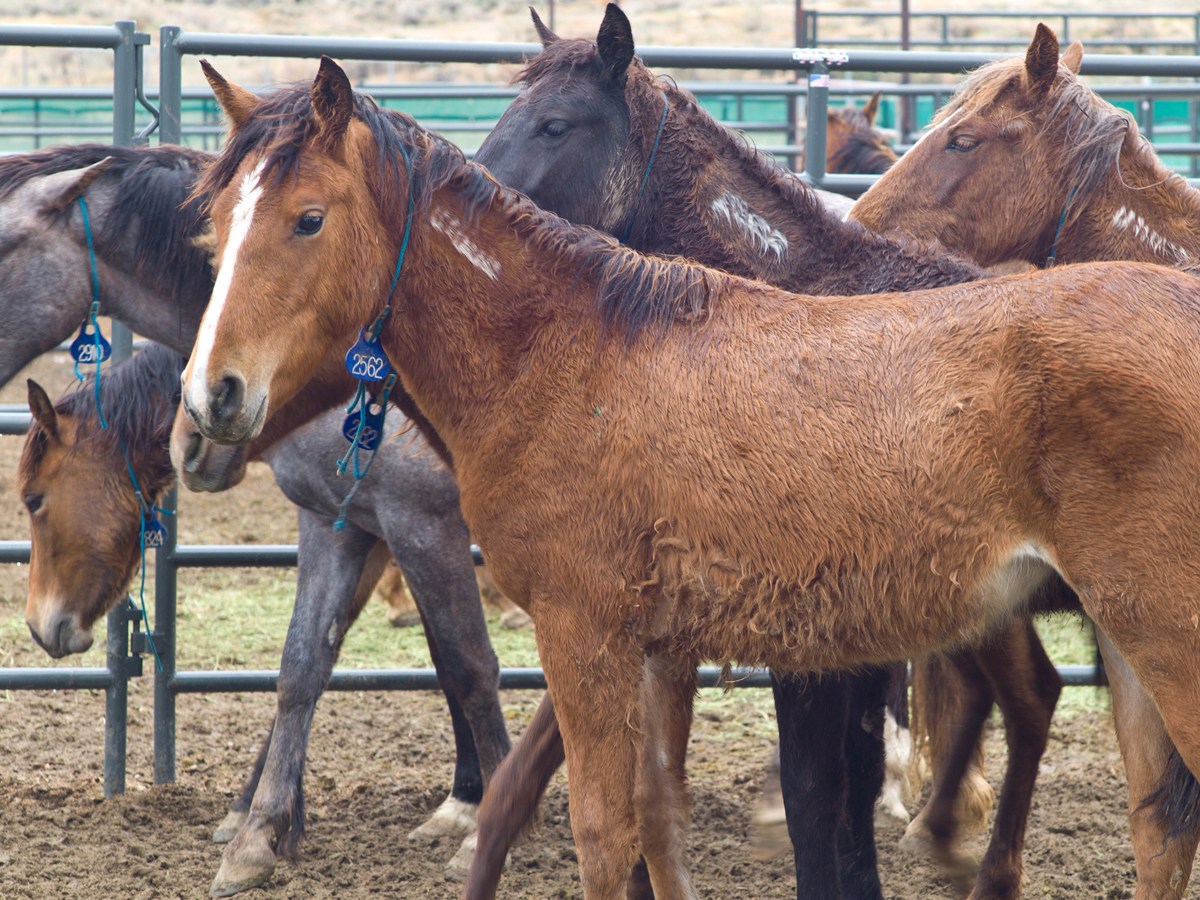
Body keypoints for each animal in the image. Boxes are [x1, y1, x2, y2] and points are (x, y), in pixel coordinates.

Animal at [4, 145, 509, 893]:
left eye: (35, 499)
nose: (42, 626)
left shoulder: (421, 524)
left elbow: (466, 664)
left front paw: (479, 818)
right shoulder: (347, 524)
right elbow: (307, 663)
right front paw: (255, 823)